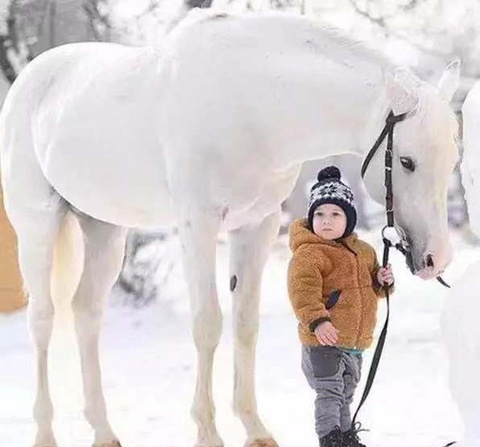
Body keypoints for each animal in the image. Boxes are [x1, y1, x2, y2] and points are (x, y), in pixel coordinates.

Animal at [0, 9, 460, 447]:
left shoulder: (256, 226)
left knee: (86, 314)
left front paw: (255, 429)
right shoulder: (198, 224)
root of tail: (31, 78)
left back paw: (103, 432)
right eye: (406, 161)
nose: (436, 259)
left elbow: (245, 326)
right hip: (37, 224)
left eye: (453, 159)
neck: (251, 103)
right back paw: (45, 434)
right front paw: (207, 432)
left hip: (104, 229)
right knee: (42, 319)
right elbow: (207, 324)